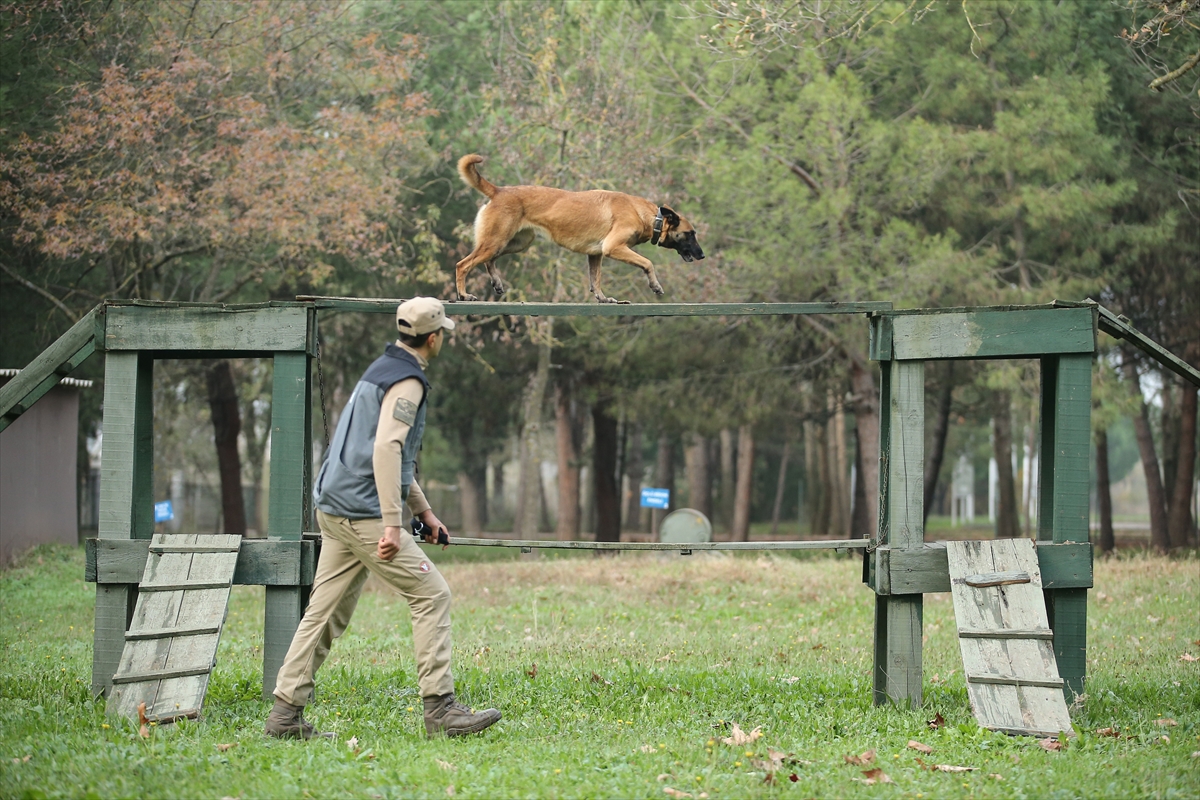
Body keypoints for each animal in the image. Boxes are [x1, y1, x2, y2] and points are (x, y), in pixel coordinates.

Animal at [456, 155, 700, 303]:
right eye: (690, 234)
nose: (702, 255)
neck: (648, 215)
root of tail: (499, 191)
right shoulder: (613, 247)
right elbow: (647, 263)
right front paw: (655, 285)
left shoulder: (596, 254)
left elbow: (596, 279)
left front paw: (602, 298)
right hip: (497, 241)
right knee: (463, 265)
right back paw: (463, 295)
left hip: (514, 242)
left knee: (488, 260)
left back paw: (495, 282)